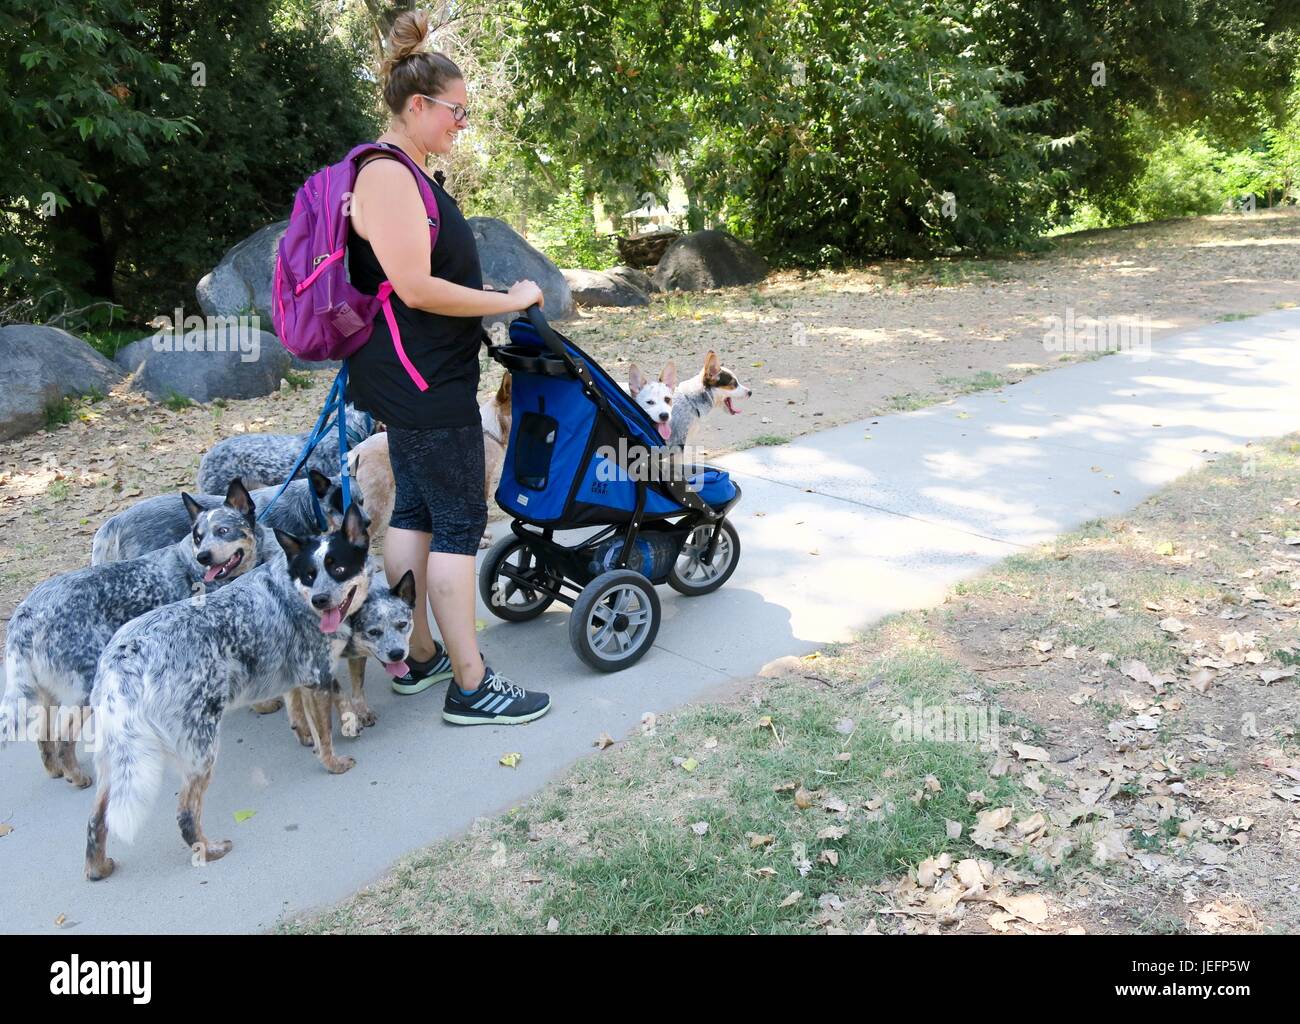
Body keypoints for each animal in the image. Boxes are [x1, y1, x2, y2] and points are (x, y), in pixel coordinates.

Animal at [0, 475, 269, 790]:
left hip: (44, 691)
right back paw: (76, 776)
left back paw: (55, 769)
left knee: (43, 733)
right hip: (83, 687)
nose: (204, 556)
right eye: (198, 536)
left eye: (223, 531)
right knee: (63, 735)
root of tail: (25, 613)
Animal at [84, 499, 374, 878]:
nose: (321, 600)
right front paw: (337, 754)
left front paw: (307, 731)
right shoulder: (316, 672)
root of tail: (122, 656)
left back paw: (98, 867)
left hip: (114, 757)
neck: (292, 588)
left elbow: (301, 707)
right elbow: (330, 720)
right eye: (310, 574)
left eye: (338, 567)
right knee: (185, 811)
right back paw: (209, 849)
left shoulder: (297, 674)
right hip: (201, 745)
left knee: (96, 819)